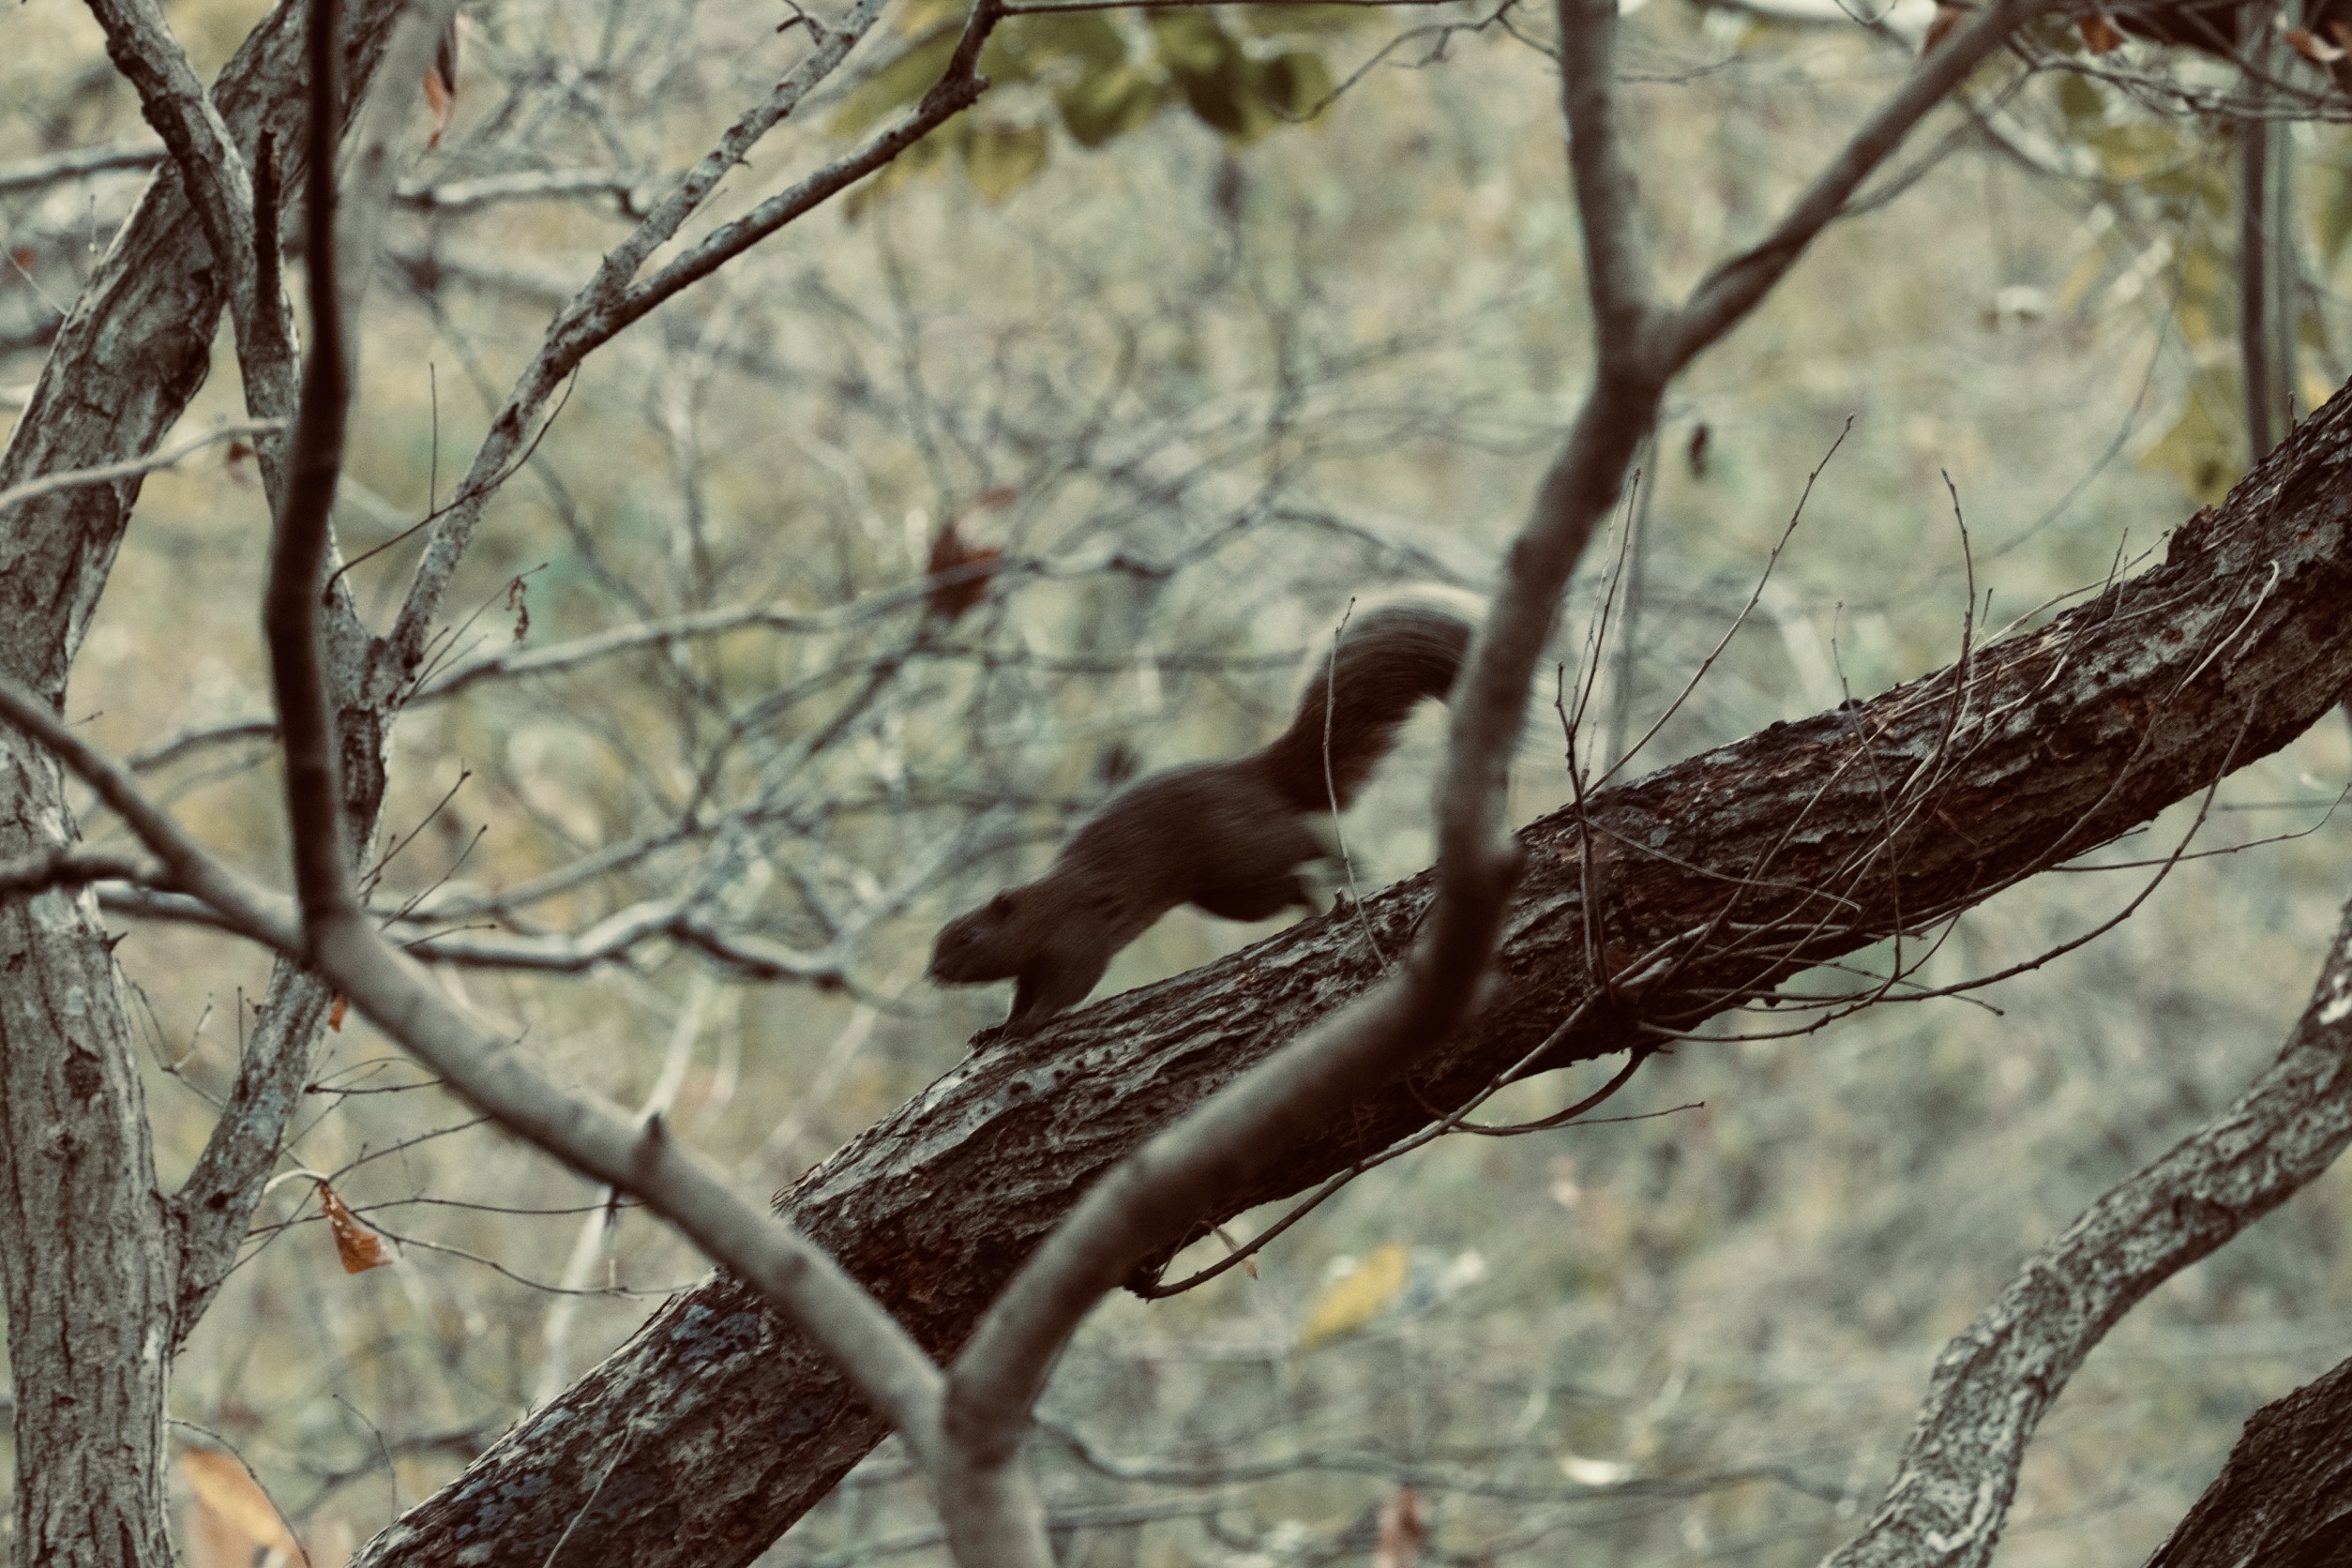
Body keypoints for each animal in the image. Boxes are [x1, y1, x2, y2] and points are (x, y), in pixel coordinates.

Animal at [929, 595, 1477, 1041]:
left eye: (968, 936)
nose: (932, 971)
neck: (1042, 908)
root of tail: (1256, 772)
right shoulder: (1031, 966)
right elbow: (1024, 992)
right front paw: (993, 1029)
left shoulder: (1077, 935)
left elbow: (1069, 985)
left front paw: (1026, 1025)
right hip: (1229, 894)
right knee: (1288, 884)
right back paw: (1312, 900)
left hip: (1243, 848)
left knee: (1301, 840)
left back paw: (1351, 861)